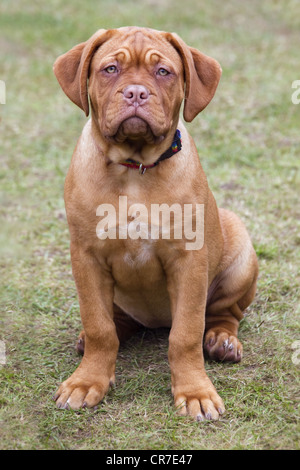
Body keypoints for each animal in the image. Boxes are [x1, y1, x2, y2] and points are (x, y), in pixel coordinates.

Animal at [52, 26, 258, 422]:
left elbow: (186, 334)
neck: (134, 170)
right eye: (110, 69)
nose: (136, 93)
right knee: (114, 322)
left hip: (240, 252)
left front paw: (195, 391)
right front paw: (88, 381)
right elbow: (99, 327)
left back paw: (222, 340)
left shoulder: (188, 260)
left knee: (223, 314)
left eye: (163, 72)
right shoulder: (86, 256)